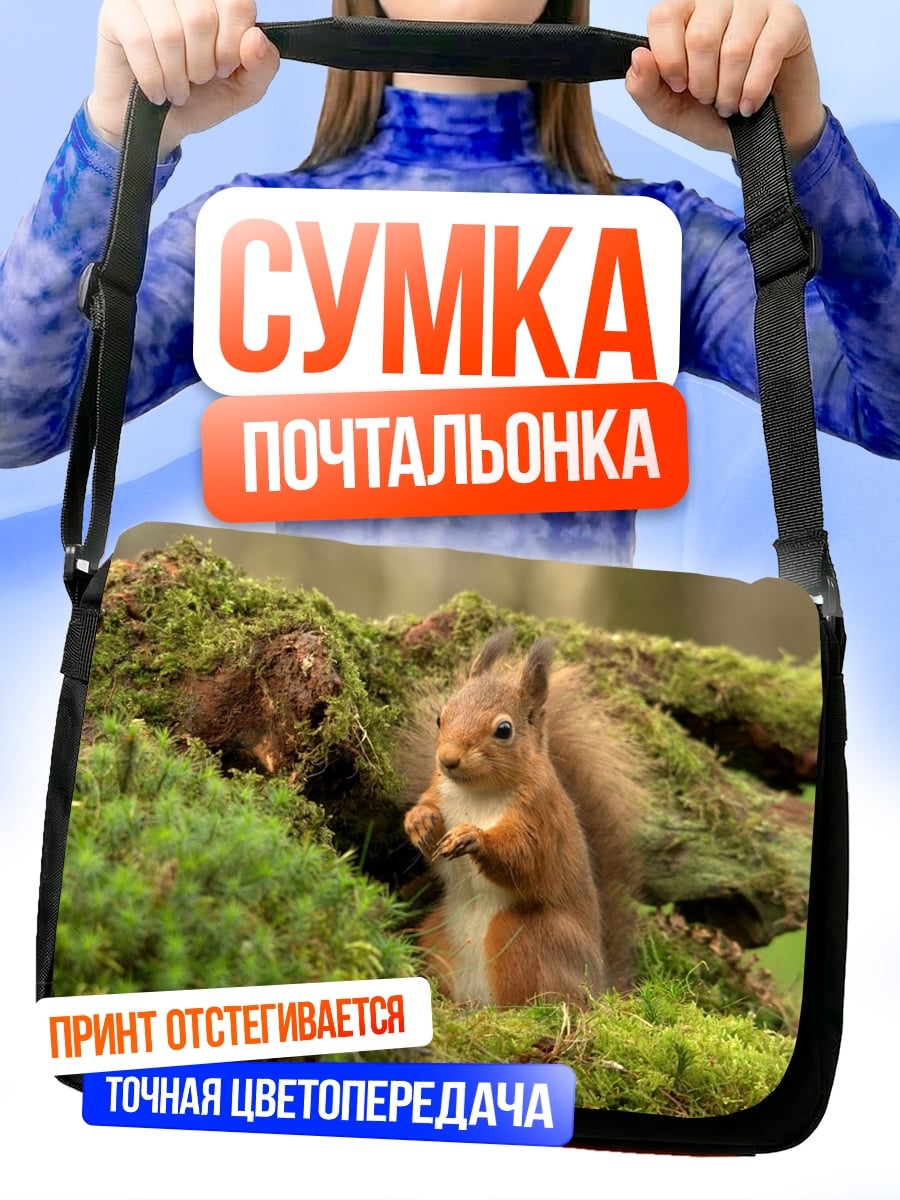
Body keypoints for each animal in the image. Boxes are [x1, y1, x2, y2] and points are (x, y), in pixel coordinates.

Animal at [401, 629, 646, 1008]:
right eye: (441, 717)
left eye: (504, 730)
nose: (448, 759)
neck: (478, 793)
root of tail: (597, 986)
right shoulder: (438, 790)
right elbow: (429, 820)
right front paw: (419, 822)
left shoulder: (540, 815)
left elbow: (525, 857)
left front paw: (474, 837)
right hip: (436, 935)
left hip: (524, 937)